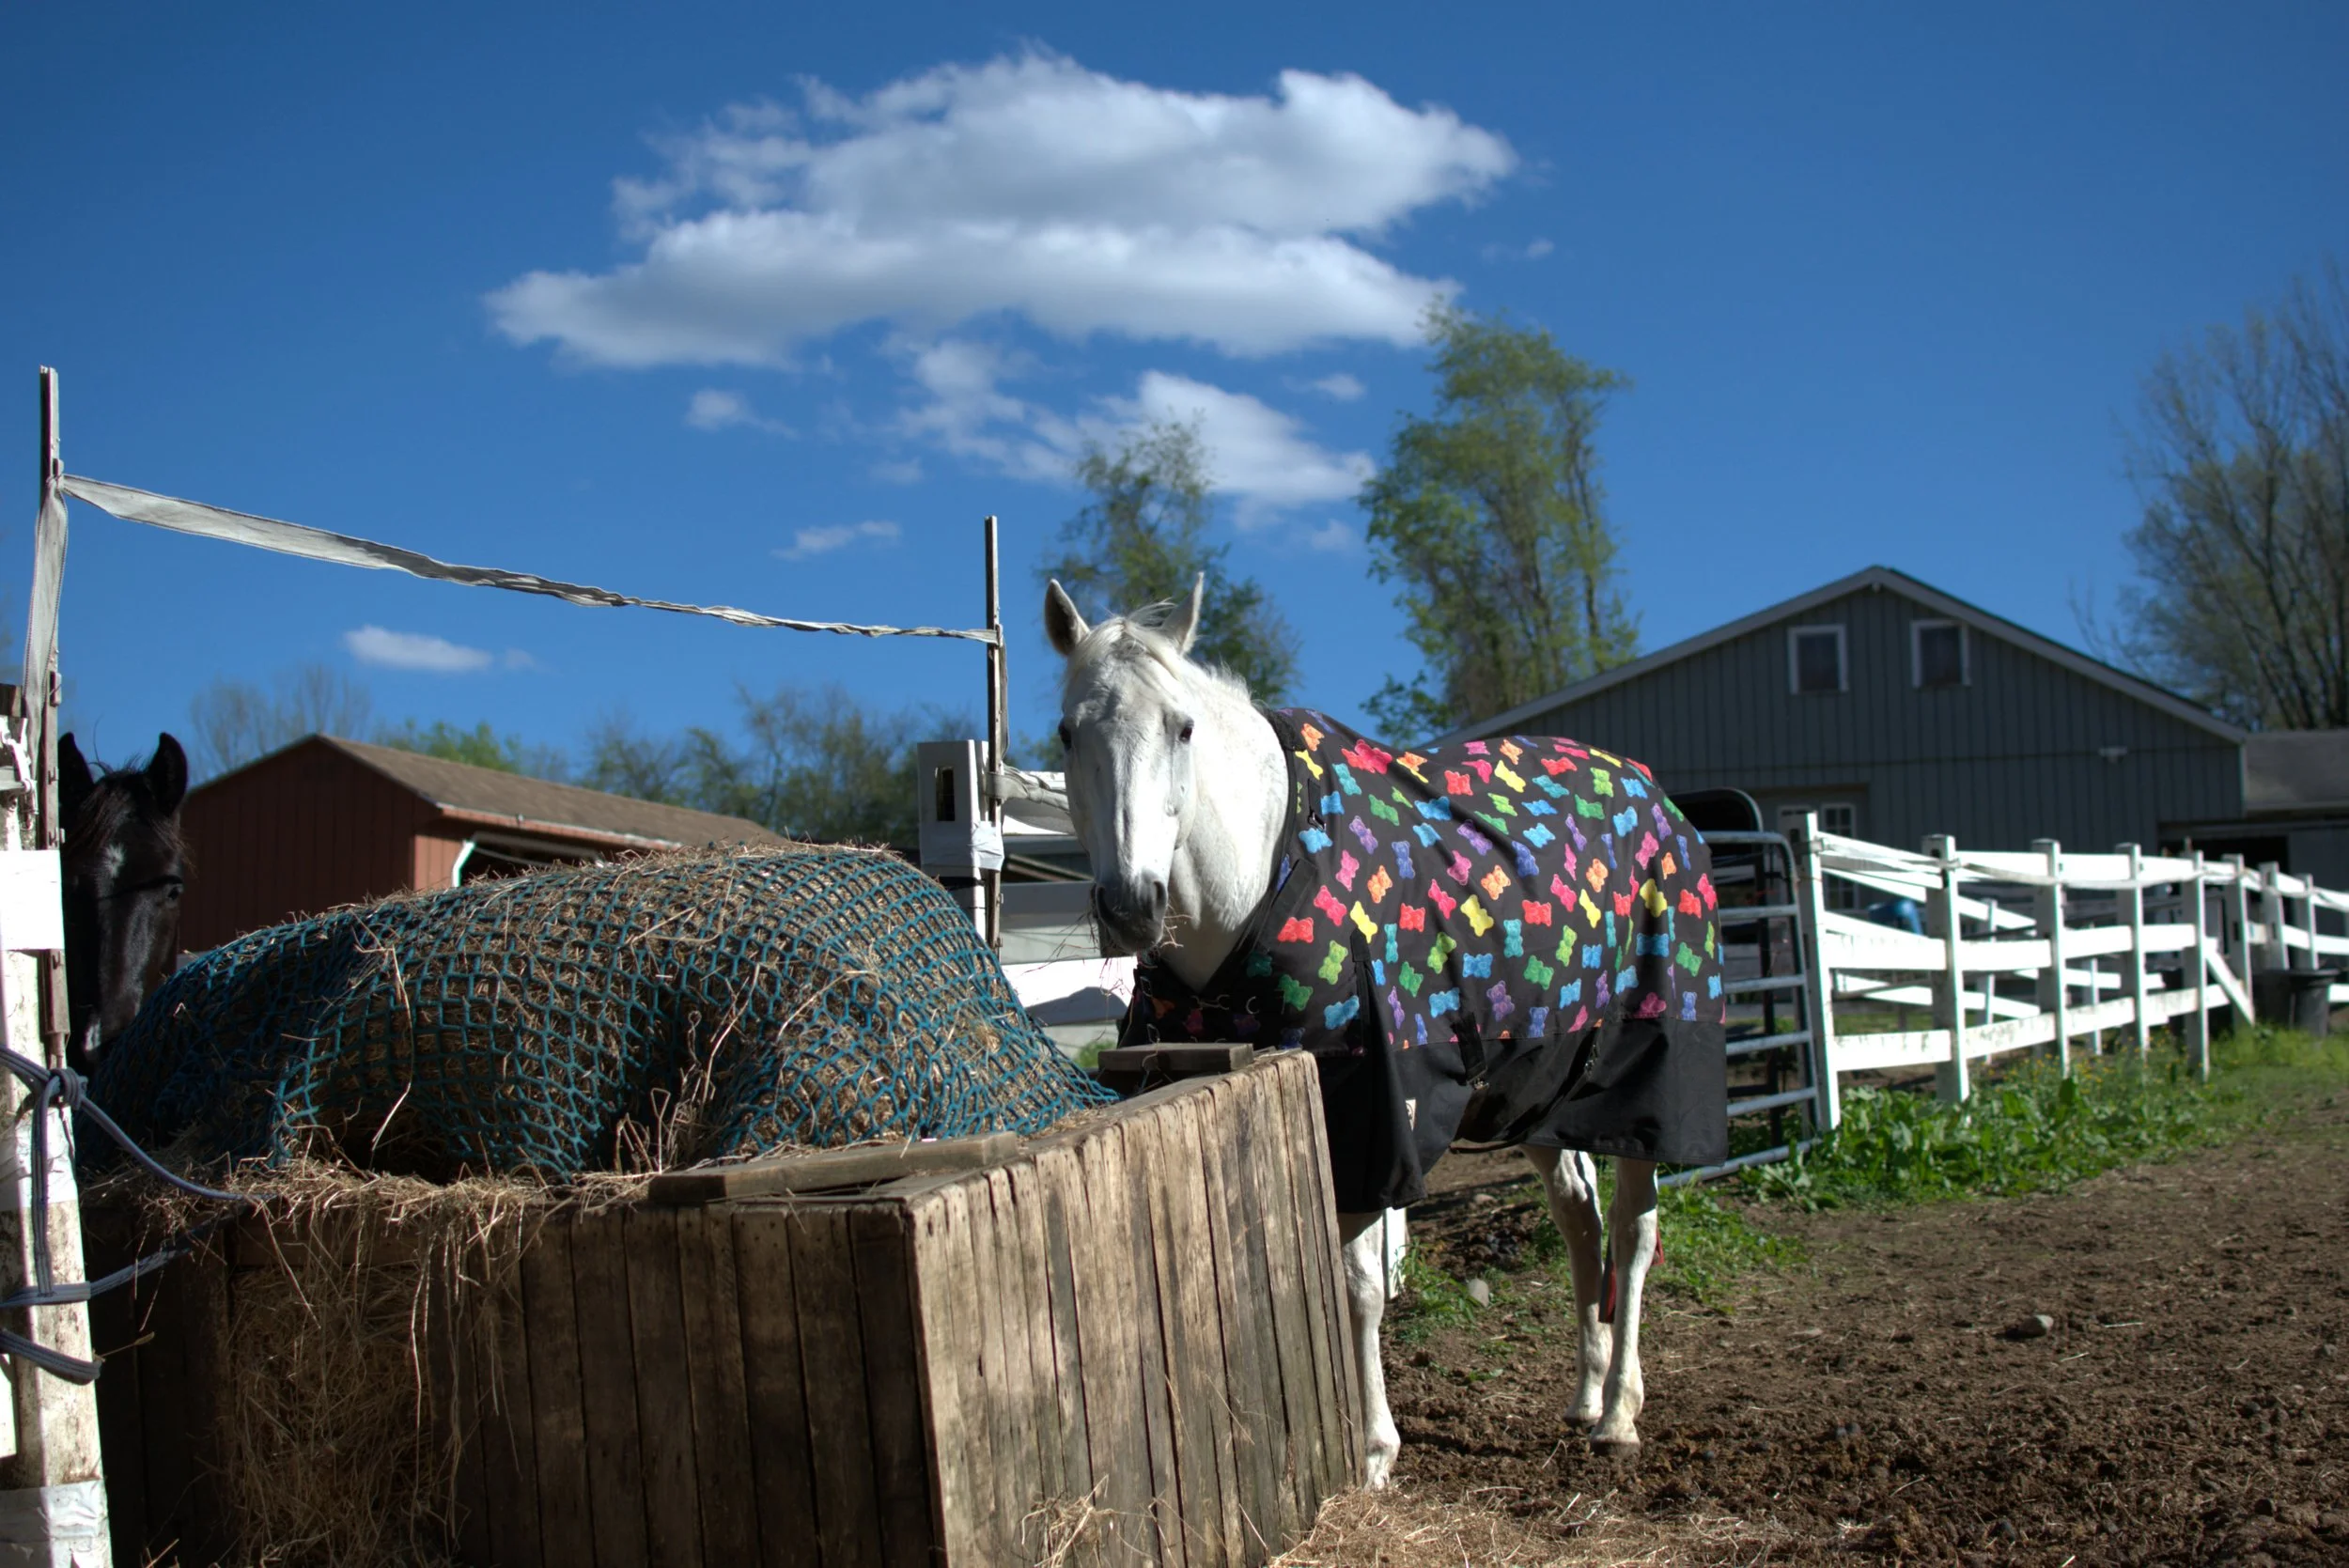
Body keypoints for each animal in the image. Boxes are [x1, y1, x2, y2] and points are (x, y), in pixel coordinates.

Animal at [1045, 578, 1728, 1483]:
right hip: (1541, 1092)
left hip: (1645, 1083)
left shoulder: (1376, 1115)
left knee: (1634, 1232)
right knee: (1581, 1222)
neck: (1262, 872)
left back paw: (1619, 1410)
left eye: (1181, 725)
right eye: (1067, 730)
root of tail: (1662, 805)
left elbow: (1359, 1284)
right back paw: (1585, 1397)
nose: (1131, 906)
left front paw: (1372, 1449)